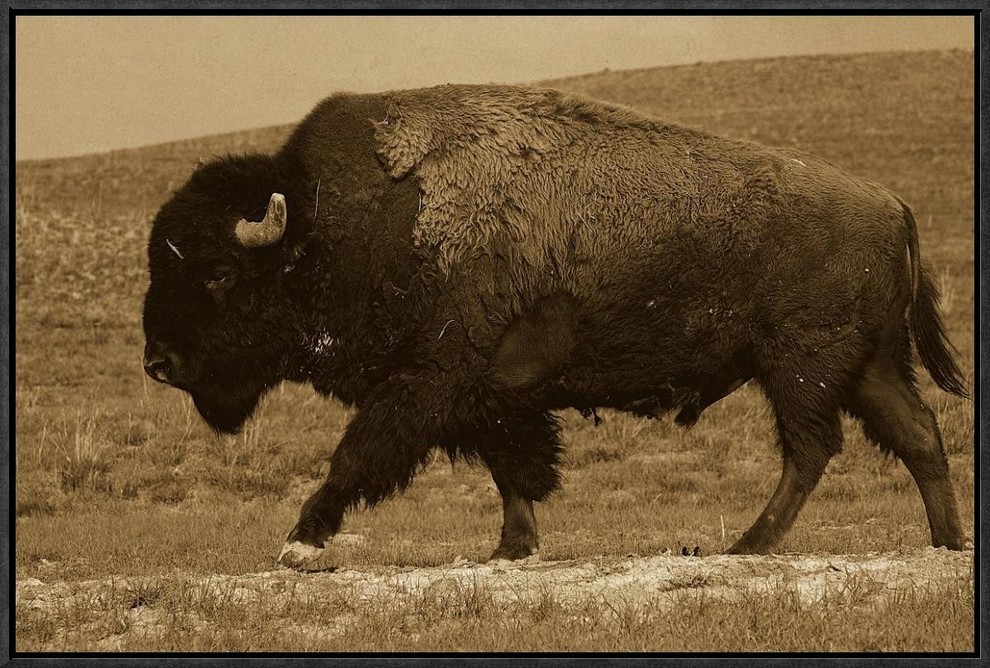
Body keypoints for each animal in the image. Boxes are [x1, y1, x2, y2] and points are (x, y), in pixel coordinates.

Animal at [142, 84, 970, 569]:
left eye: (218, 274)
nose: (159, 362)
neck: (334, 222)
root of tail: (893, 204)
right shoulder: (491, 397)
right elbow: (513, 471)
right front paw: (512, 548)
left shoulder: (425, 383)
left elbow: (357, 455)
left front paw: (299, 541)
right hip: (866, 365)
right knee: (917, 435)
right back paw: (945, 543)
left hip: (800, 364)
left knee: (812, 449)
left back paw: (748, 544)